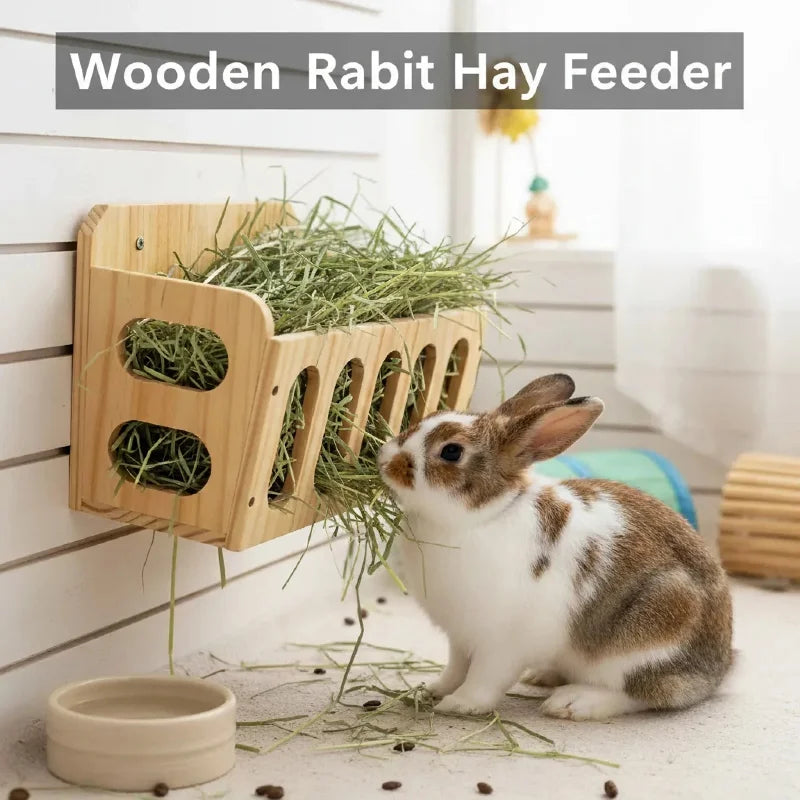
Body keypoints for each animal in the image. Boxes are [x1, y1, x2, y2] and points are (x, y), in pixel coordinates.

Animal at [378, 373, 732, 721]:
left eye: (451, 451)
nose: (384, 459)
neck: (484, 516)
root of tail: (716, 671)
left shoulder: (501, 643)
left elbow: (485, 678)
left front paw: (460, 704)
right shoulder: (460, 636)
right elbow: (456, 667)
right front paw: (436, 689)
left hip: (649, 634)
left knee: (643, 693)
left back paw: (573, 703)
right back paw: (544, 677)